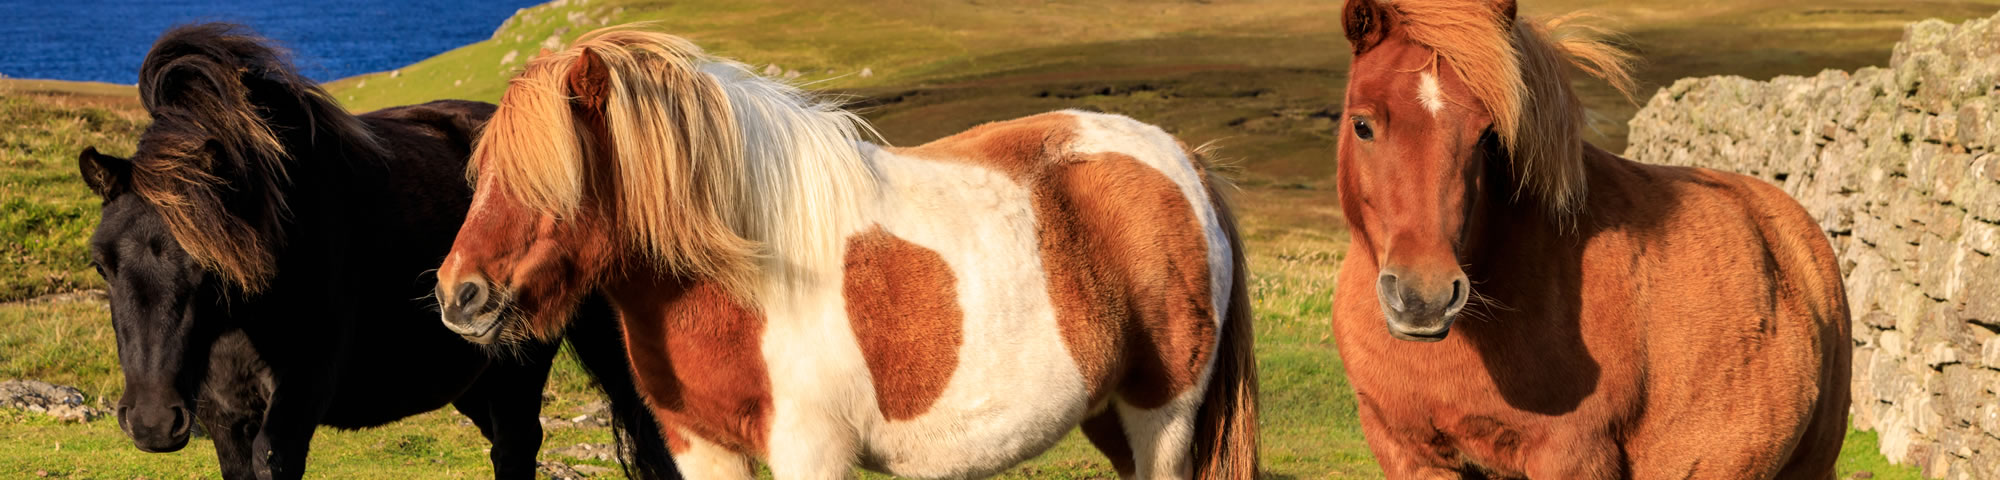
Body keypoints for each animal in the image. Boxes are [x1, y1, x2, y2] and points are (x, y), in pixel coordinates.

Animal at [76, 24, 680, 478]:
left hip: (521, 359)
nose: (153, 421)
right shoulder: (223, 415)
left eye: (208, 270)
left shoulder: (295, 403)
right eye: (101, 264)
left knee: (523, 445)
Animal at [432, 29, 1256, 480]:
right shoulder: (701, 448)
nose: (458, 296)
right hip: (1111, 414)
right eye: (482, 174)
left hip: (1163, 415)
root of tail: (1182, 161)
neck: (745, 286)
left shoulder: (810, 451)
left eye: (556, 180)